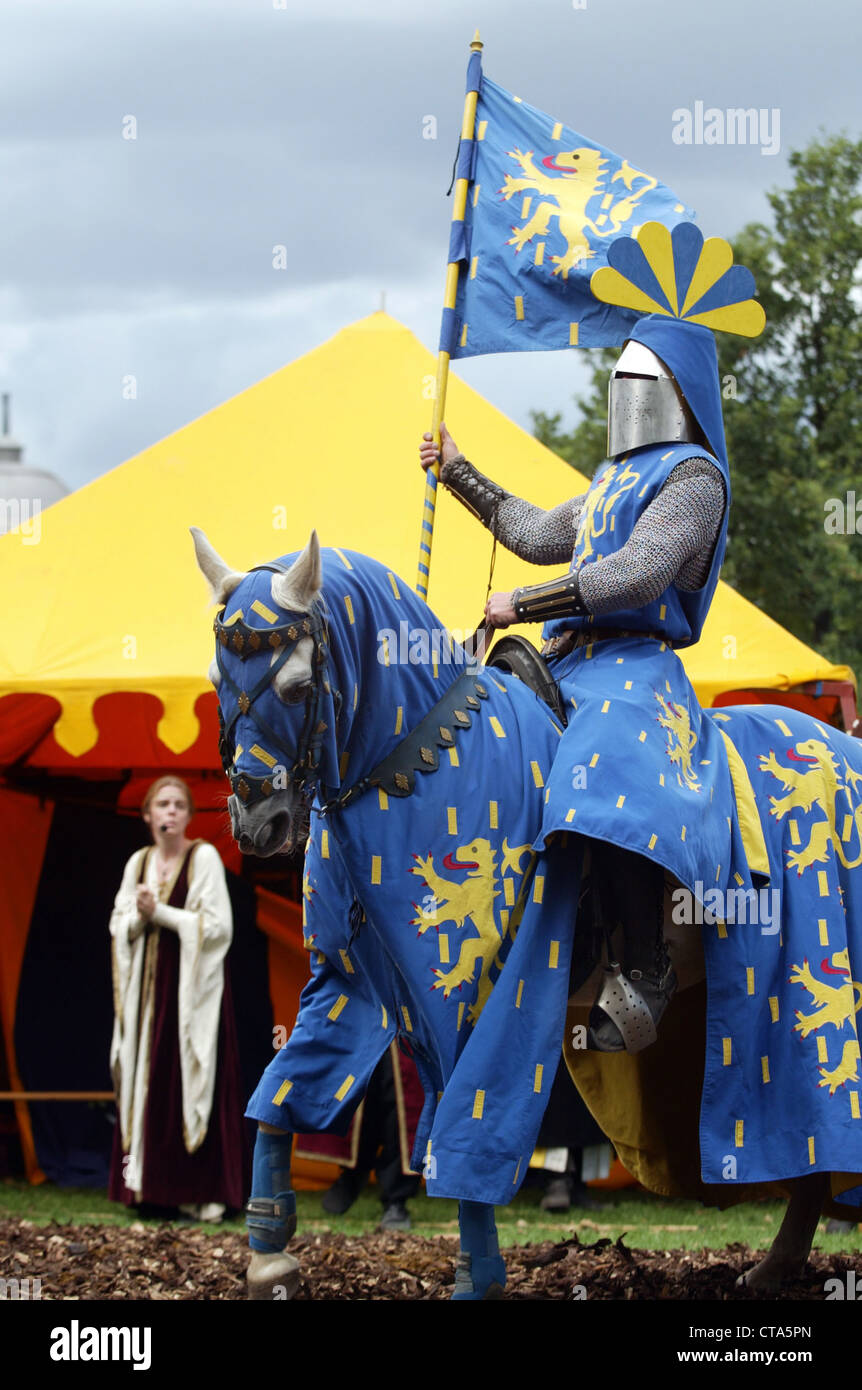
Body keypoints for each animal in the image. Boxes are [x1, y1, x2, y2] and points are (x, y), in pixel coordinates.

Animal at [194, 525, 862, 1295]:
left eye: (298, 687)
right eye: (216, 682)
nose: (258, 823)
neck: (420, 761)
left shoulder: (487, 988)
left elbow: (468, 1121)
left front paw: (475, 1276)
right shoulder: (350, 982)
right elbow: (283, 1092)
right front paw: (269, 1253)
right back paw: (776, 1266)